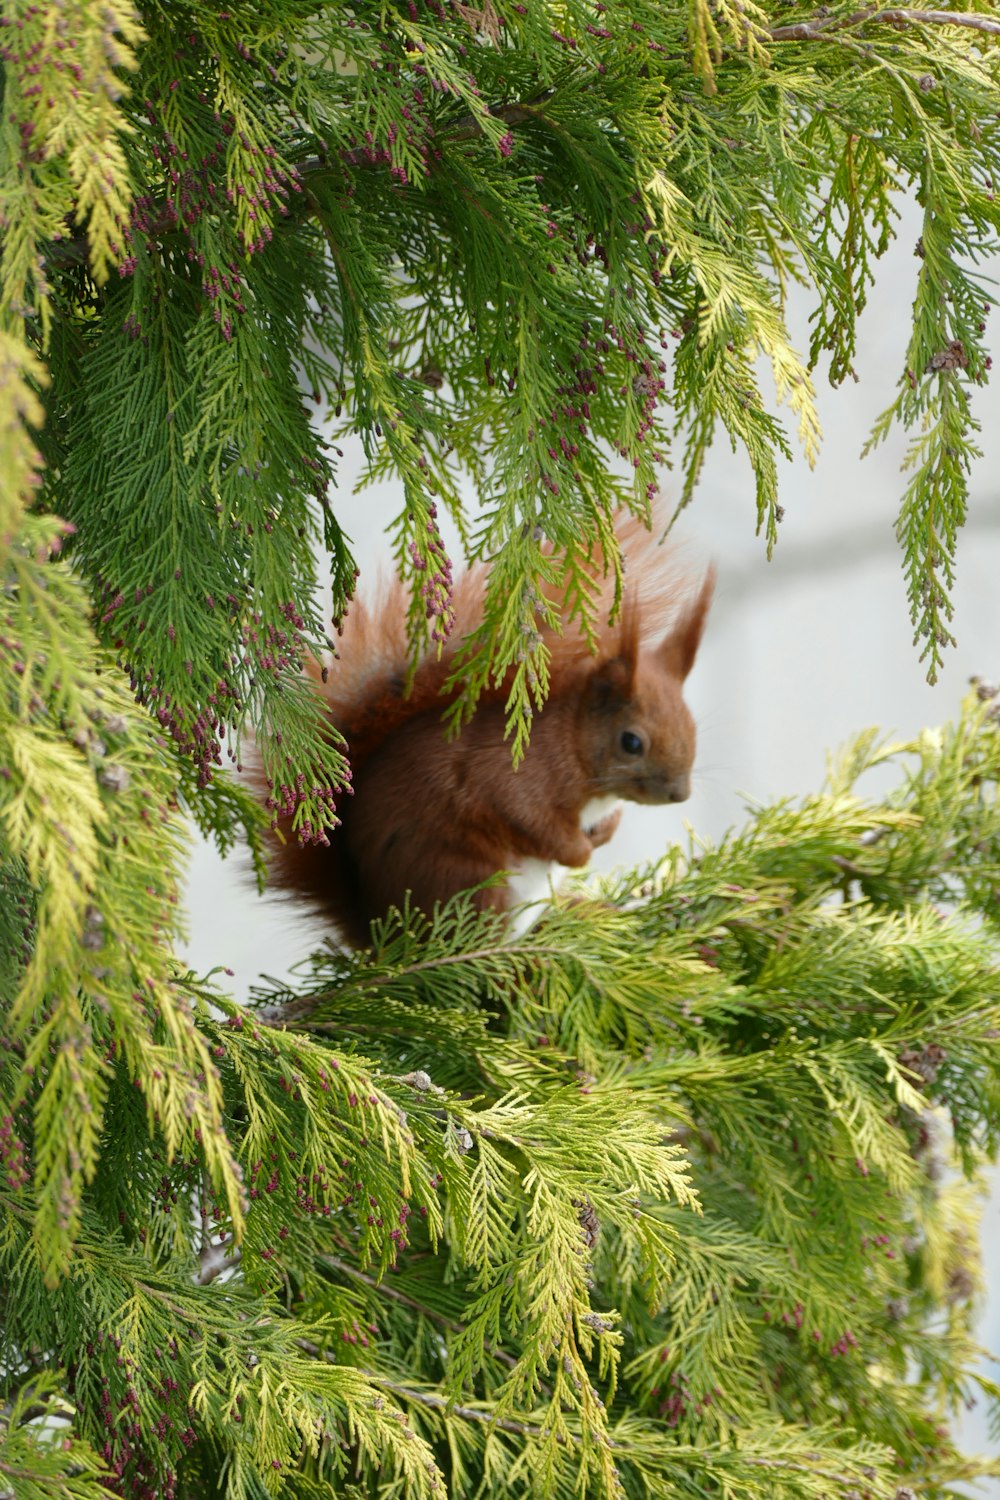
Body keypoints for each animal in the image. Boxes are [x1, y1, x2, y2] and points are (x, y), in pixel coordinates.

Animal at [262, 522, 716, 942]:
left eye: (692, 724)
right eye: (631, 742)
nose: (680, 794)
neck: (572, 742)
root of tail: (380, 934)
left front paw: (606, 831)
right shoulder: (515, 775)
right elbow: (528, 817)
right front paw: (579, 852)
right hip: (471, 881)